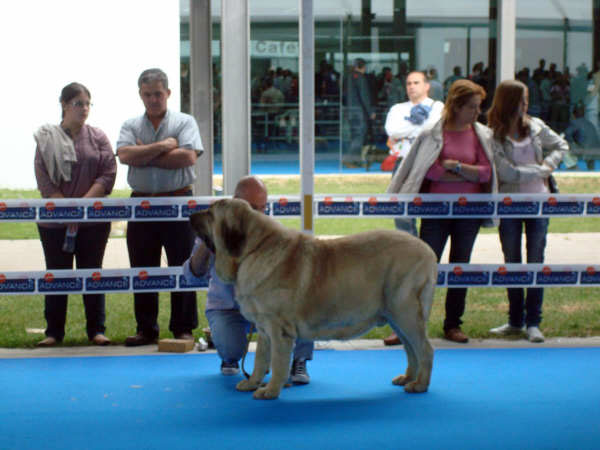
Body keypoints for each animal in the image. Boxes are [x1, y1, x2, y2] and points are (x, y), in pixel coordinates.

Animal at [191, 199, 436, 400]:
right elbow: (260, 359)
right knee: (411, 350)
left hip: (405, 313)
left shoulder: (278, 330)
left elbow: (277, 363)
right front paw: (252, 383)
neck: (253, 250)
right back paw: (407, 378)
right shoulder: (263, 330)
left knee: (425, 349)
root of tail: (428, 251)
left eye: (210, 213)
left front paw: (270, 390)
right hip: (397, 319)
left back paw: (420, 385)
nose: (191, 214)